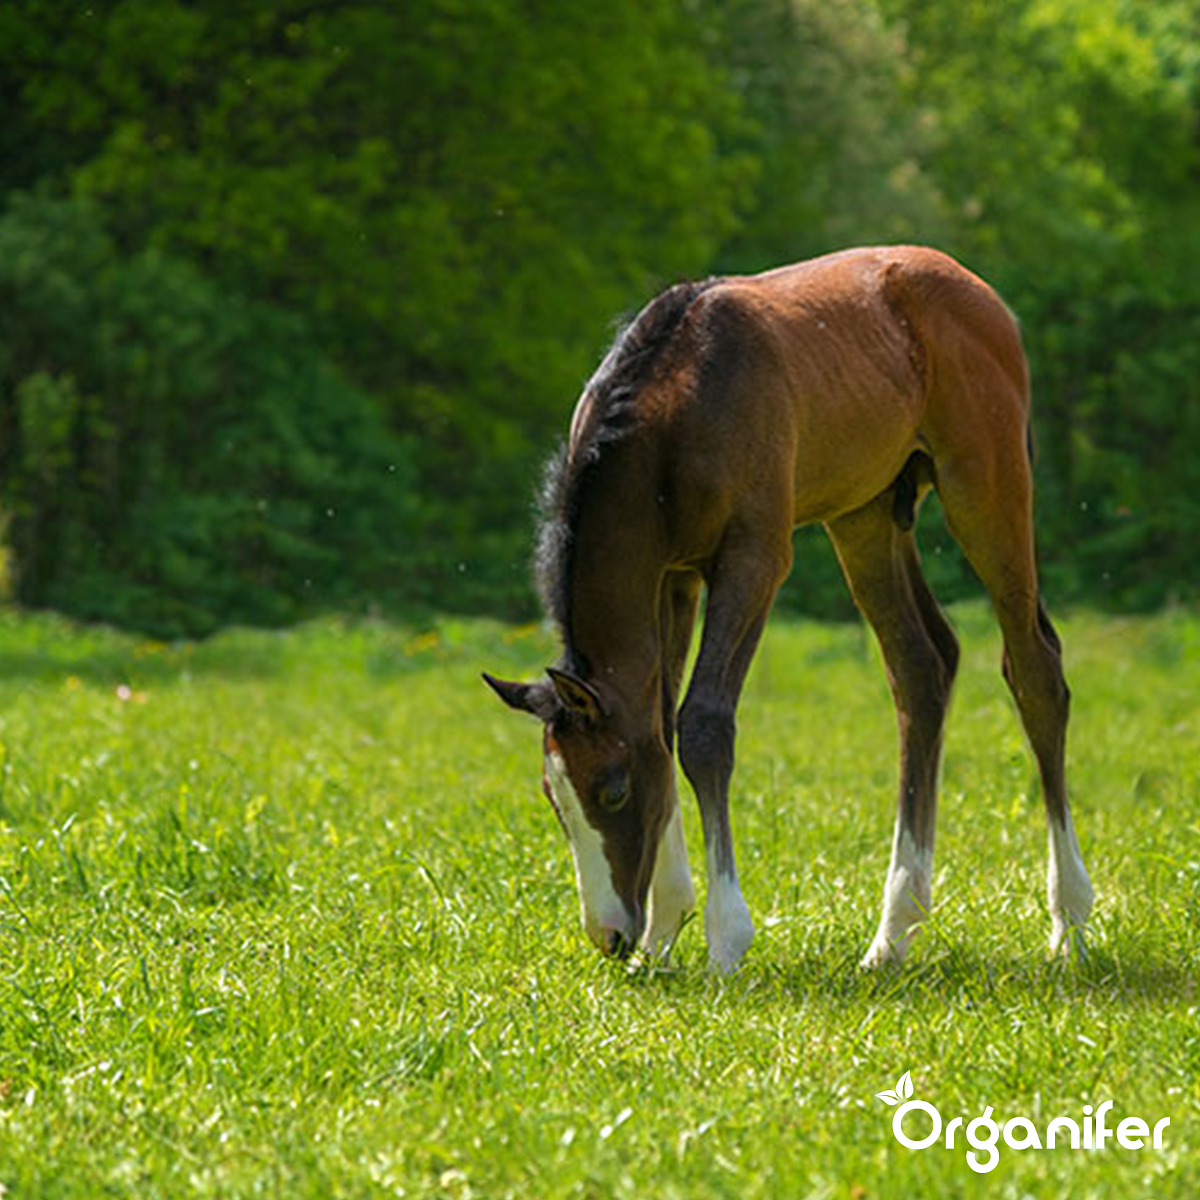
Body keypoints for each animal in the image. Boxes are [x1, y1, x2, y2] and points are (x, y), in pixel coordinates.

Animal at [482, 246, 1094, 974]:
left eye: (612, 790)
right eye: (555, 800)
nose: (609, 936)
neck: (673, 410)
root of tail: (972, 287)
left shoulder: (754, 558)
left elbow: (703, 726)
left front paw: (724, 940)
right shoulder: (672, 577)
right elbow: (657, 725)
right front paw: (663, 931)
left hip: (987, 487)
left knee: (1034, 669)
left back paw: (1068, 923)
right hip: (864, 516)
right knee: (922, 666)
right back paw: (893, 935)